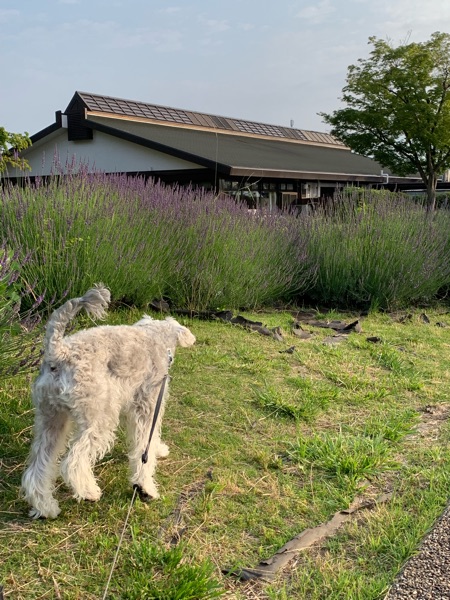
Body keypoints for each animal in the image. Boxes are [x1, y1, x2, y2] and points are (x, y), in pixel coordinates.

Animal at [21, 285, 196, 519]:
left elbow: (149, 439)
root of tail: (59, 352)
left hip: (51, 420)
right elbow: (145, 446)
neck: (155, 337)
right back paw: (89, 491)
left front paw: (158, 450)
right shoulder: (148, 406)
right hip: (99, 419)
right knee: (73, 461)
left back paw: (46, 507)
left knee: (37, 469)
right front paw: (145, 487)